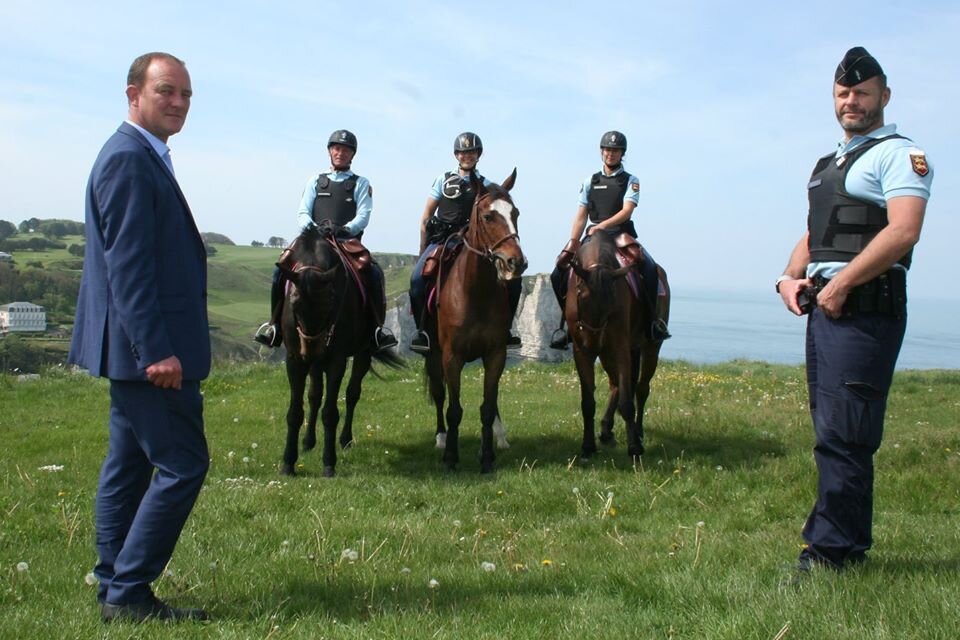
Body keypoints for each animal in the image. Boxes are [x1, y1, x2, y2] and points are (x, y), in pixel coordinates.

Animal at [278, 228, 402, 478]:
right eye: (294, 304)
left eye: (330, 302)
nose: (312, 351)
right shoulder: (295, 360)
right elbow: (295, 412)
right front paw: (288, 463)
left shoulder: (336, 361)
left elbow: (330, 413)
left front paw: (328, 463)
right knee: (314, 396)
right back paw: (308, 442)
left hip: (362, 354)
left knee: (352, 394)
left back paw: (345, 440)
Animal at [424, 168, 524, 472]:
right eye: (488, 216)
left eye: (515, 213)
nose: (516, 262)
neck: (475, 292)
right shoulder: (451, 357)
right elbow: (453, 409)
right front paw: (450, 457)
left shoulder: (495, 354)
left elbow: (488, 408)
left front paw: (487, 456)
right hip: (432, 355)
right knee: (439, 393)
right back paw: (441, 438)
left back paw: (500, 437)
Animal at [568, 230, 672, 460]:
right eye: (580, 295)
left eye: (612, 304)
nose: (592, 343)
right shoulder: (581, 351)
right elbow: (587, 402)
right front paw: (587, 447)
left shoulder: (620, 347)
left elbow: (627, 401)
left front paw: (634, 448)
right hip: (608, 353)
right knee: (615, 384)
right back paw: (607, 429)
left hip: (650, 347)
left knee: (641, 389)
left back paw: (638, 432)